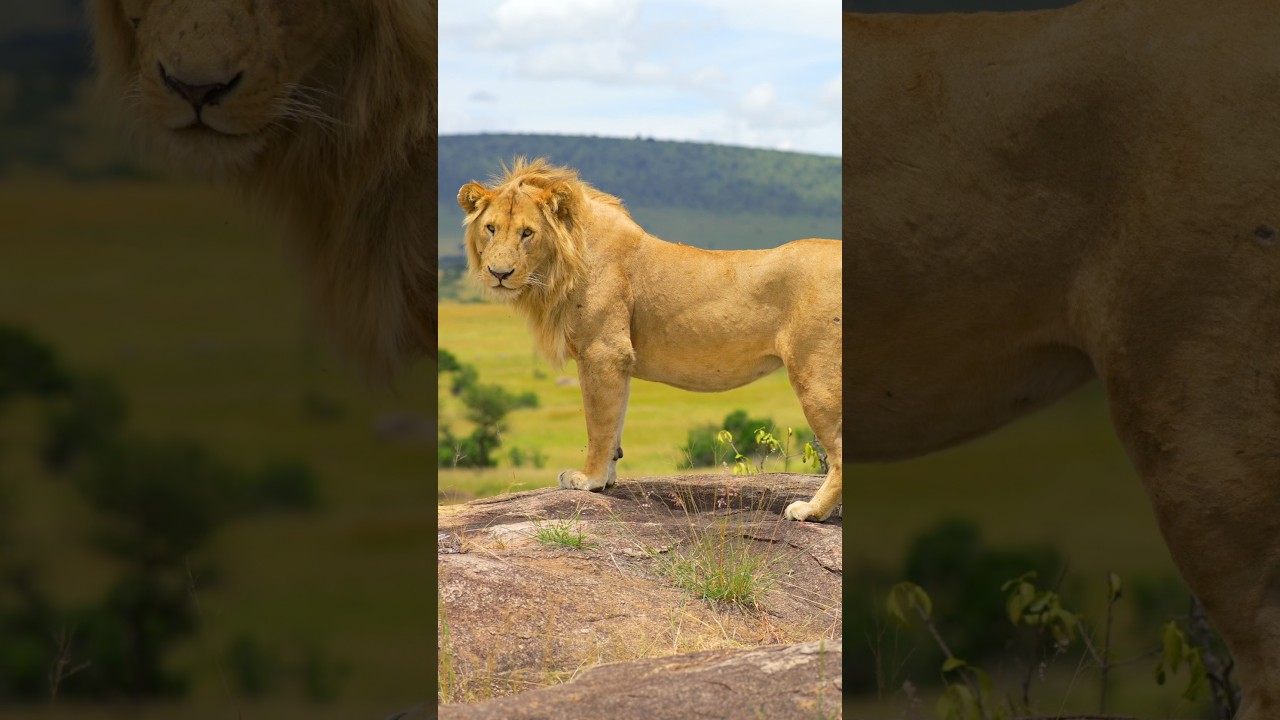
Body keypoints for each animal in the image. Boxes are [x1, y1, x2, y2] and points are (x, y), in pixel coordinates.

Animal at [457, 158, 843, 523]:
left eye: (527, 233)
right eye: (491, 228)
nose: (499, 273)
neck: (563, 263)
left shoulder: (602, 352)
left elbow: (598, 425)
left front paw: (588, 480)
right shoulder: (618, 360)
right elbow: (615, 425)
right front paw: (606, 479)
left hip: (816, 375)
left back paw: (811, 511)